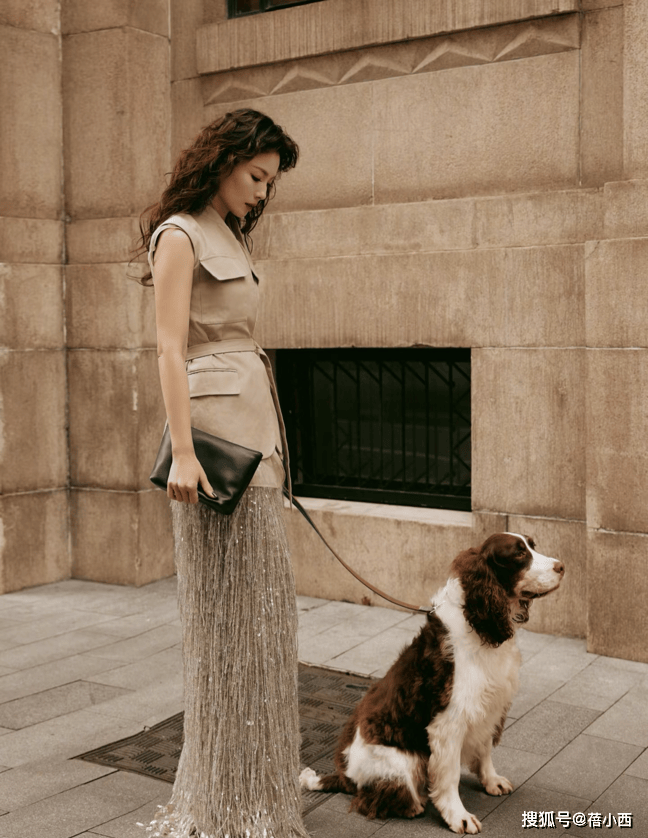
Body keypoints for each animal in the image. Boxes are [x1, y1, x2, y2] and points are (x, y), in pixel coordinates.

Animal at [300, 533, 565, 834]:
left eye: (532, 545)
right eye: (519, 554)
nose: (562, 567)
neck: (477, 624)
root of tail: (345, 775)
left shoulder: (488, 704)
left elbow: (485, 750)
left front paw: (491, 781)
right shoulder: (449, 722)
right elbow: (449, 776)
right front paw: (458, 816)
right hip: (403, 761)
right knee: (376, 796)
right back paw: (413, 804)